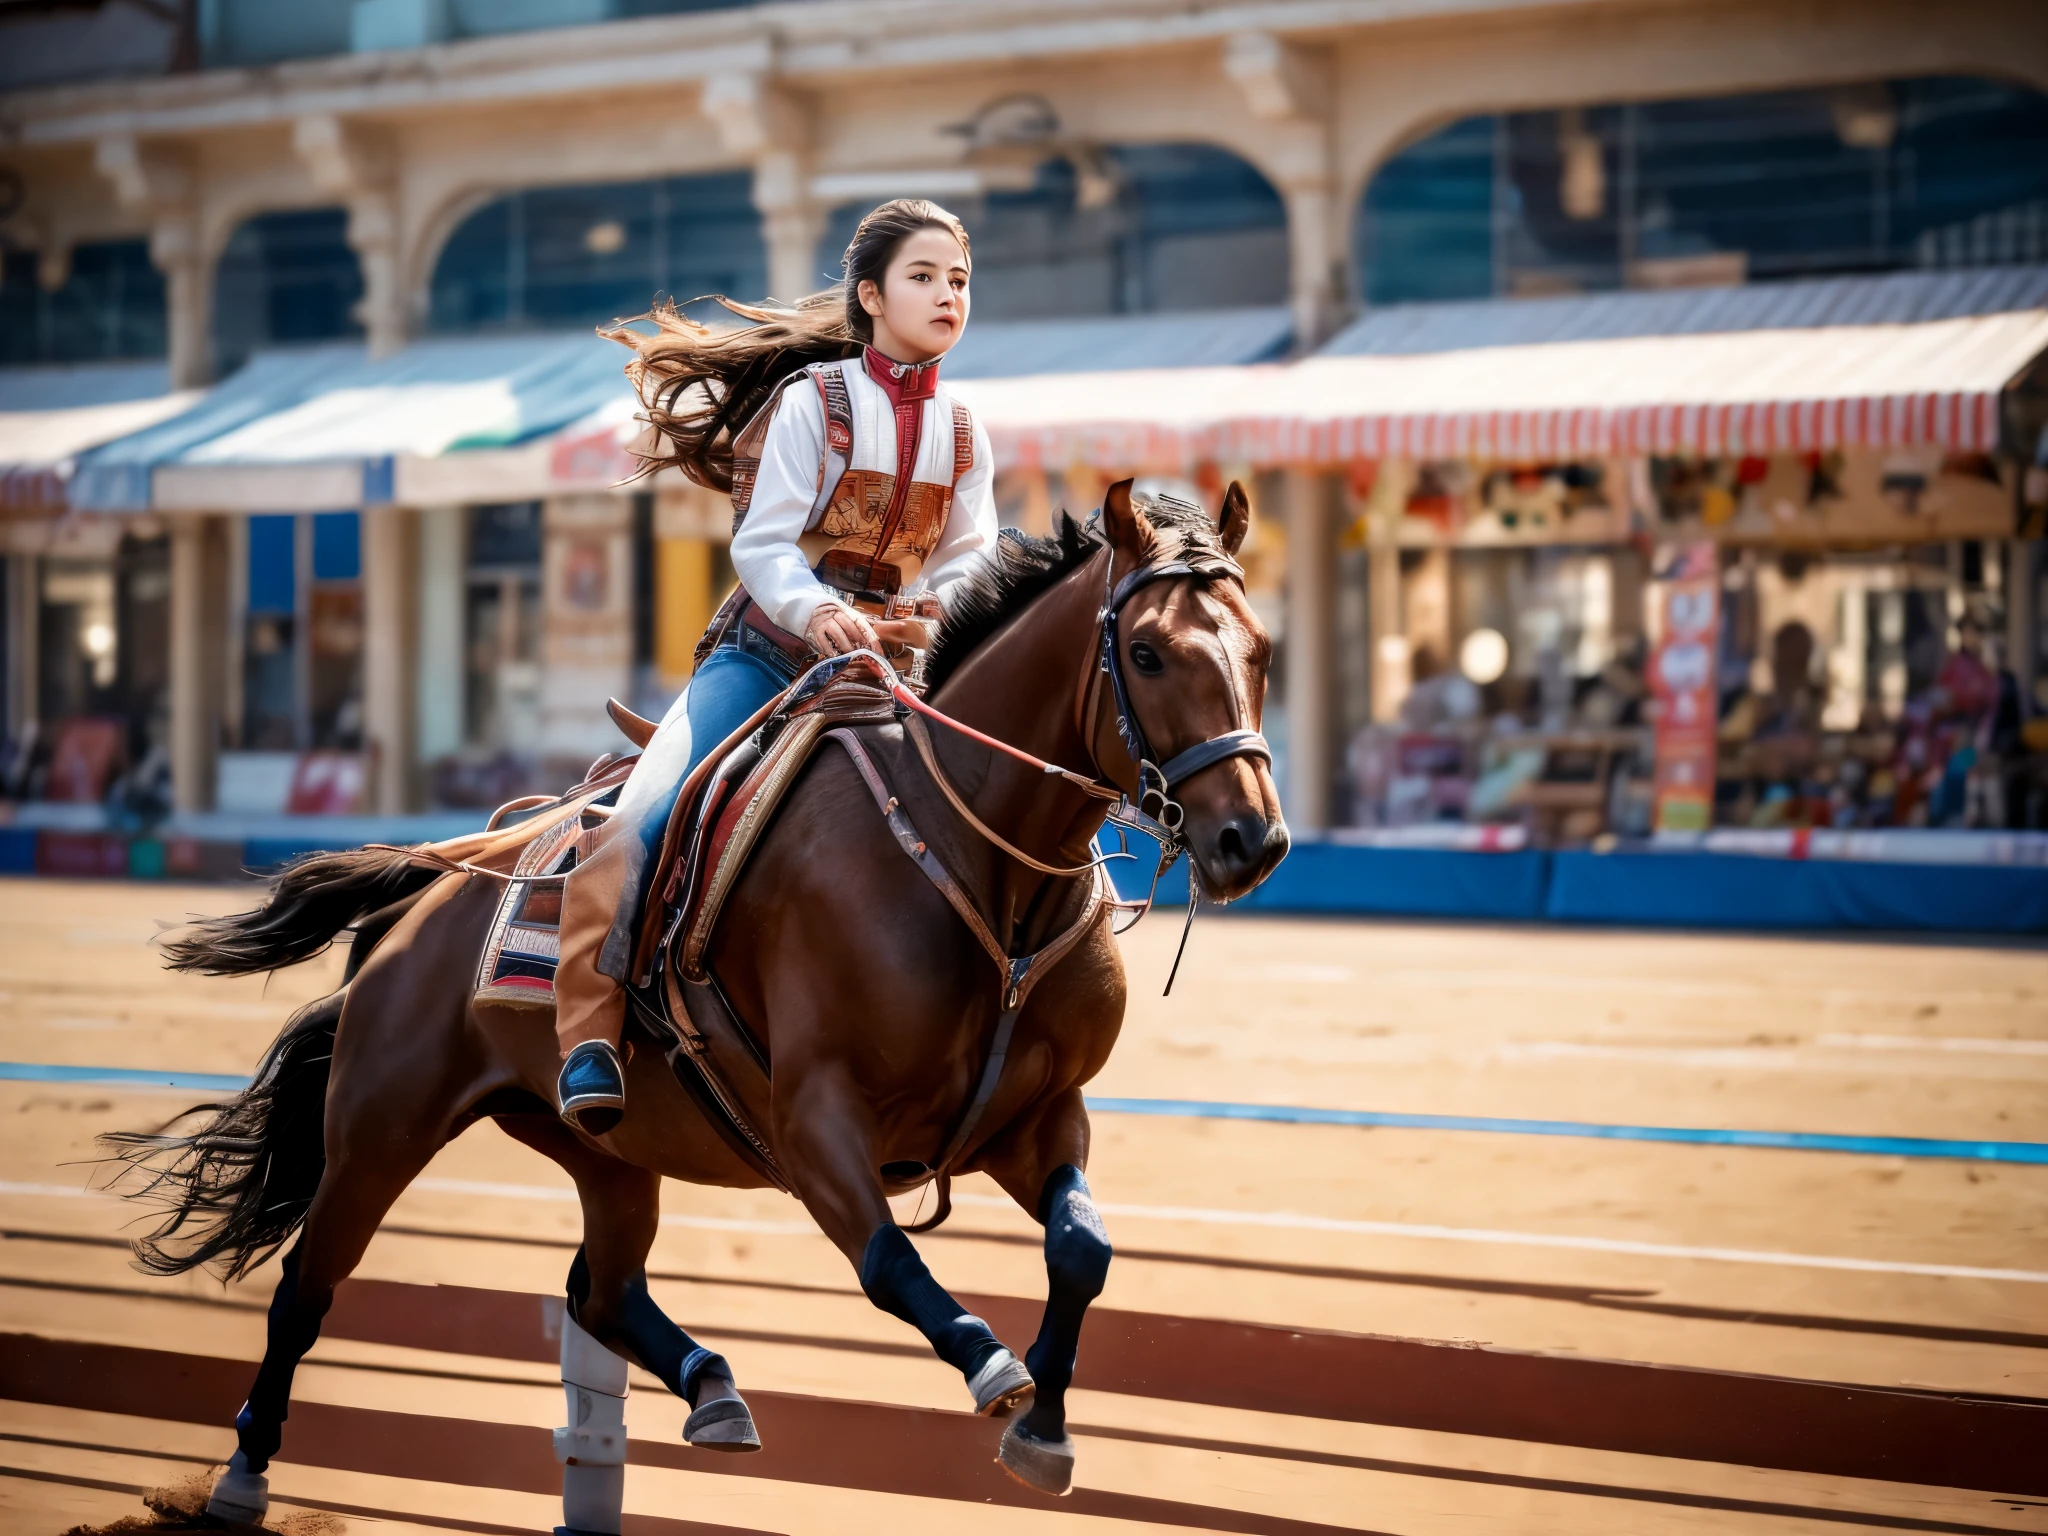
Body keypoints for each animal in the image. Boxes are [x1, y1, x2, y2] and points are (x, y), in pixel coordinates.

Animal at [108, 483, 1277, 1531]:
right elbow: (888, 1260)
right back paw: (239, 1479)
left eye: (1260, 650)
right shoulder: (814, 1122)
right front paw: (996, 1370)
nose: (1251, 839)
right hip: (380, 1123)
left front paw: (1045, 1430)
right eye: (1148, 654)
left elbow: (1082, 1248)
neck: (970, 865)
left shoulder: (1035, 1117)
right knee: (306, 1286)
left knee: (600, 1289)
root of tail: (435, 887)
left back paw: (714, 1390)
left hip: (606, 1150)